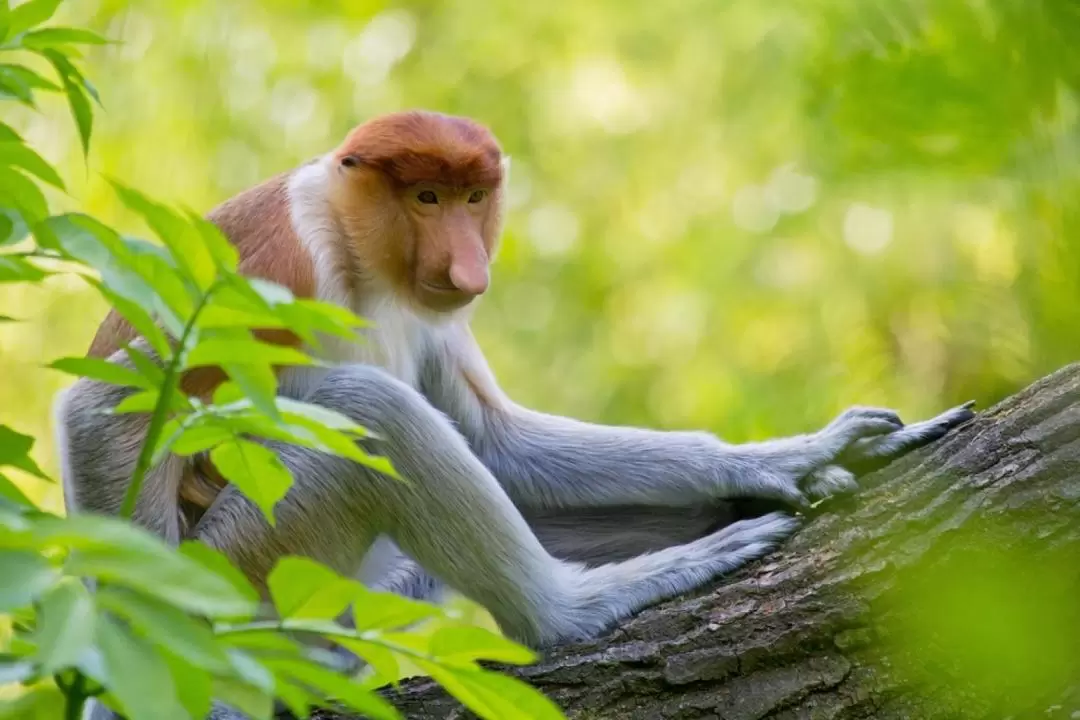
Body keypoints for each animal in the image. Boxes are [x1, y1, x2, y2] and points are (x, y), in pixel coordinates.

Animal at [54, 111, 976, 720]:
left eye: (473, 199)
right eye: (425, 197)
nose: (467, 265)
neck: (355, 253)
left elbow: (495, 440)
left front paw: (786, 458)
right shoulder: (268, 272)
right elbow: (104, 406)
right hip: (254, 570)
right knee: (373, 415)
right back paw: (573, 611)